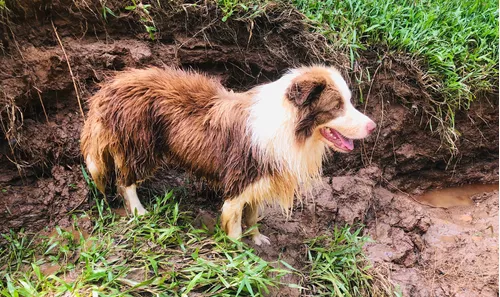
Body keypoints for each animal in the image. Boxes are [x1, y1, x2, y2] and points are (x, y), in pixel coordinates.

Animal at [80, 66, 376, 244]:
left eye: (349, 102)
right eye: (336, 106)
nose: (373, 126)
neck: (290, 127)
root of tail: (111, 85)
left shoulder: (260, 180)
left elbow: (252, 215)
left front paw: (257, 239)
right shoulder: (240, 178)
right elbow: (233, 220)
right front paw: (238, 255)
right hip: (140, 147)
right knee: (124, 181)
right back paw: (139, 212)